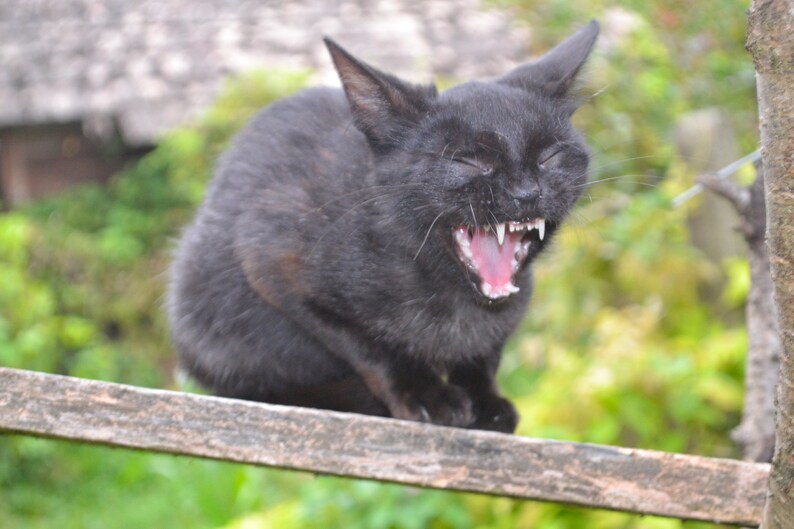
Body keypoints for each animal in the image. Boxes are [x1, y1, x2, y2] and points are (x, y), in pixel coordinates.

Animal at [169, 21, 600, 434]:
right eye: (469, 161)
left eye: (550, 156)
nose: (527, 192)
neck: (454, 302)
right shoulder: (272, 260)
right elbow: (366, 343)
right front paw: (426, 394)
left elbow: (483, 353)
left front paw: (485, 401)